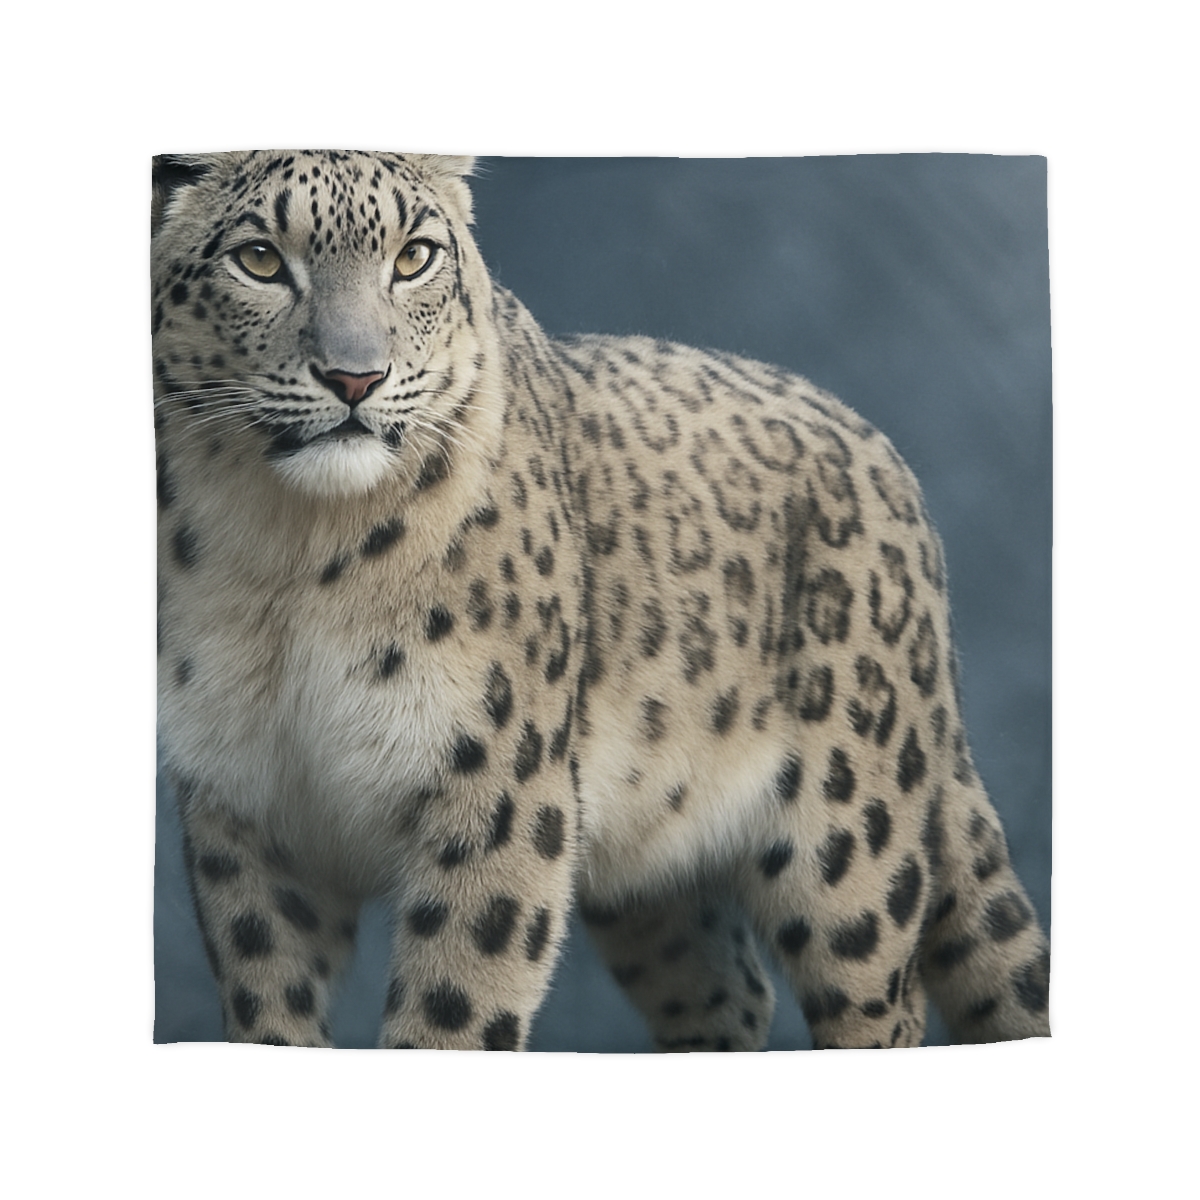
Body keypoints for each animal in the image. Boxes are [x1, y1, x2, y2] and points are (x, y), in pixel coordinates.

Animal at [153, 150, 1050, 1051]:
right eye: (260, 259)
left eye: (413, 257)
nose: (354, 377)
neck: (290, 556)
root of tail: (887, 461)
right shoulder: (247, 808)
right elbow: (271, 1011)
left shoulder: (497, 787)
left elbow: (454, 1008)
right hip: (655, 880)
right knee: (728, 988)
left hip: (851, 852)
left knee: (881, 1010)